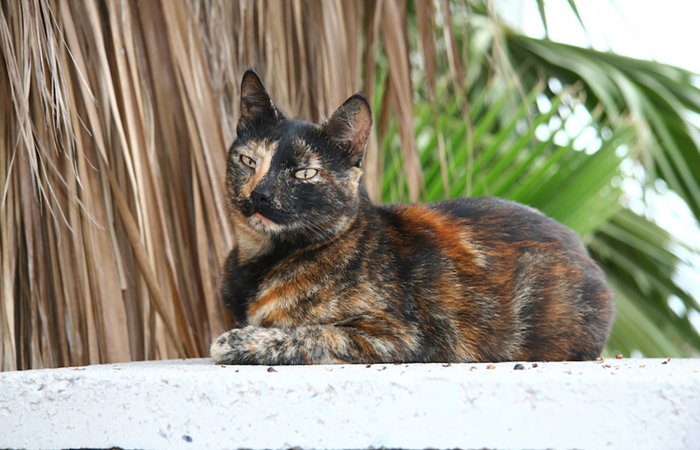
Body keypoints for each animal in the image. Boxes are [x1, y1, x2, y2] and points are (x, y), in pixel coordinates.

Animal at [211, 70, 616, 366]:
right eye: (249, 161)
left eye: (304, 173)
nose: (260, 194)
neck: (261, 263)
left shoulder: (397, 335)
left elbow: (309, 332)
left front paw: (236, 341)